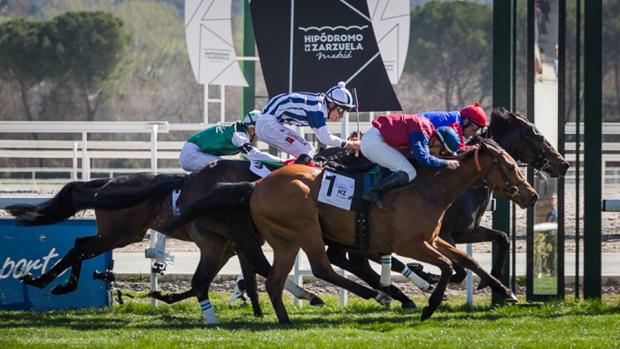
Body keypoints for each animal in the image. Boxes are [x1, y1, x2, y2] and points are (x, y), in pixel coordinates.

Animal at [157, 137, 540, 322]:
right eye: (509, 165)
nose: (532, 195)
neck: (426, 187)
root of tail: (256, 185)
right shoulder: (412, 243)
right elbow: (447, 267)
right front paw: (429, 304)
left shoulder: (434, 238)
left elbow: (467, 262)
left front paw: (506, 290)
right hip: (306, 229)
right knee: (321, 267)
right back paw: (373, 294)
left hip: (284, 240)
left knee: (275, 279)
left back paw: (285, 319)